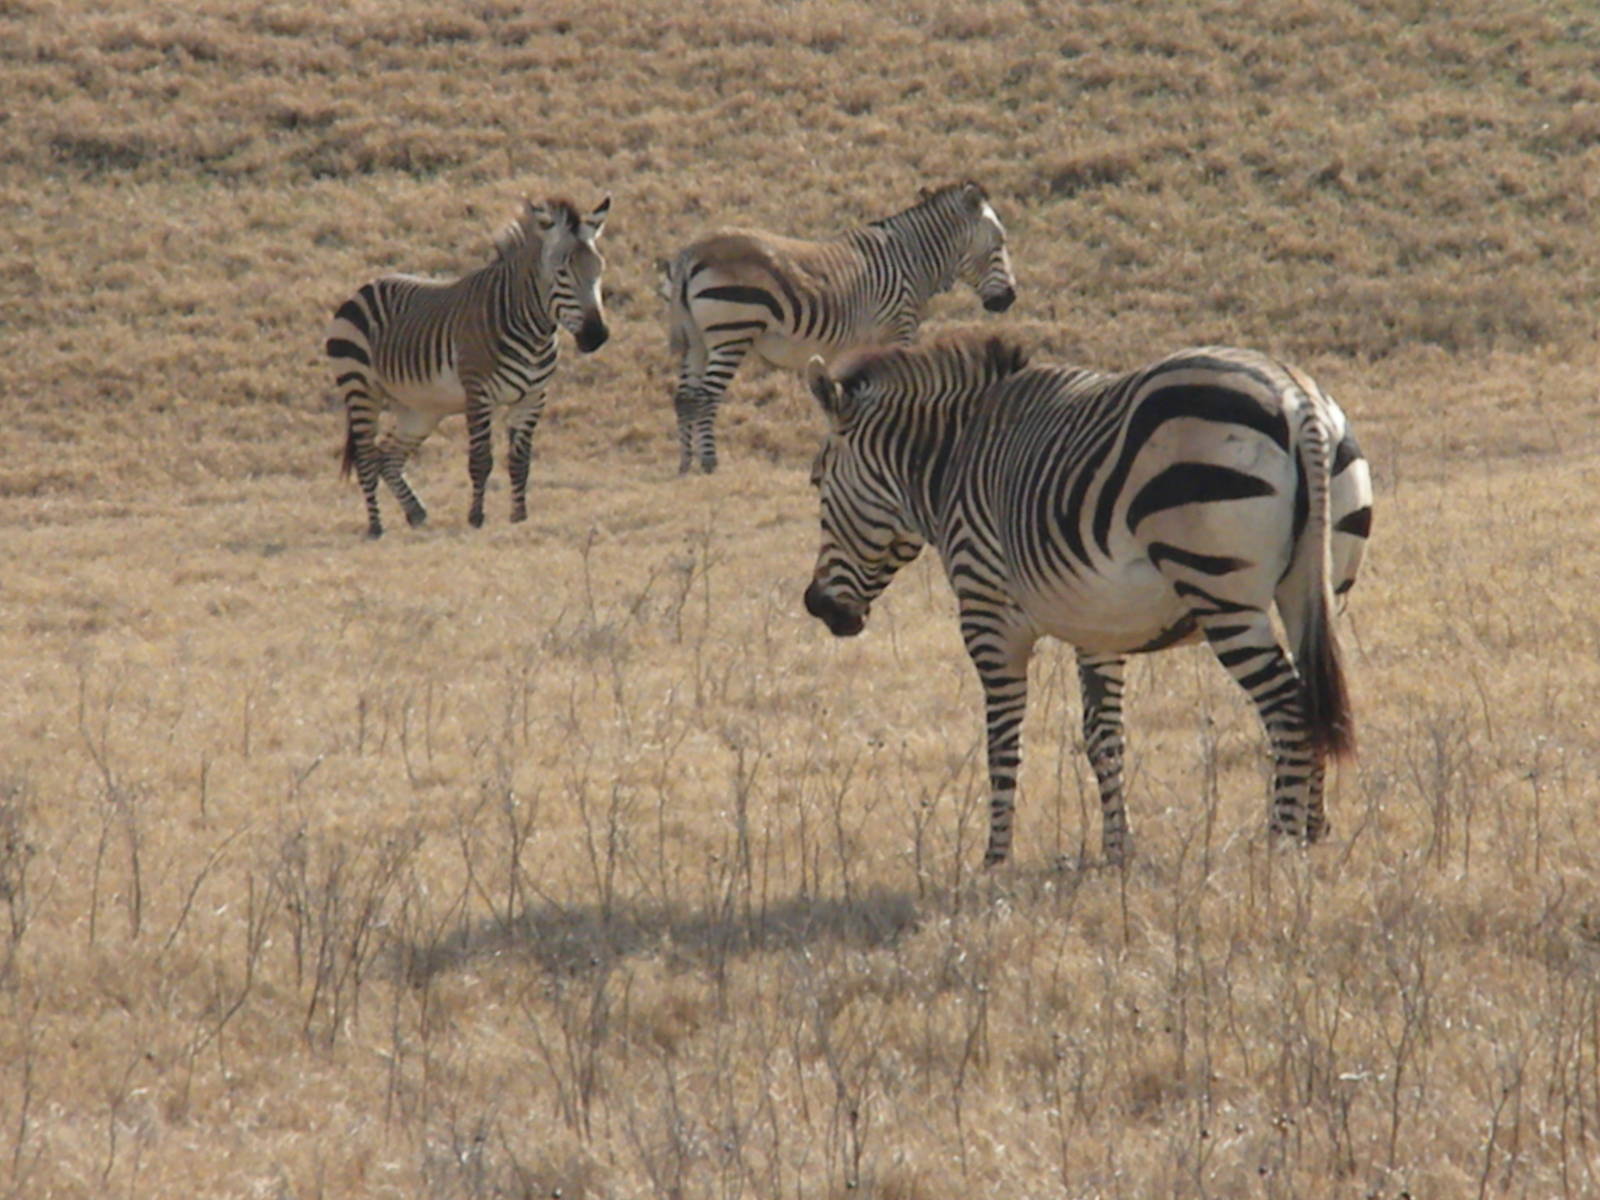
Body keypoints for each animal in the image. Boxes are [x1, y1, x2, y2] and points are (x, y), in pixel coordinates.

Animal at [327, 193, 611, 538]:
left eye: (599, 269)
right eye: (561, 273)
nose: (597, 336)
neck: (534, 332)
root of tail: (364, 287)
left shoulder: (533, 398)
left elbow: (521, 462)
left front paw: (519, 517)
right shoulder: (479, 393)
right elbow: (480, 460)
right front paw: (476, 518)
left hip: (420, 409)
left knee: (387, 456)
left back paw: (416, 512)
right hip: (360, 387)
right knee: (367, 458)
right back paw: (375, 527)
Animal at [665, 180, 1016, 476]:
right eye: (1000, 242)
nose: (1010, 298)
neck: (911, 260)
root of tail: (690, 252)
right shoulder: (897, 330)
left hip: (696, 339)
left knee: (685, 397)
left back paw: (685, 463)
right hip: (732, 333)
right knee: (707, 396)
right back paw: (709, 462)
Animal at [801, 334, 1373, 867]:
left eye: (817, 482)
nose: (816, 605)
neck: (952, 459)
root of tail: (1296, 398)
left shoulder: (987, 617)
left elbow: (1002, 742)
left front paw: (995, 859)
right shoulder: (1099, 626)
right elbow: (1103, 738)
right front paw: (1117, 850)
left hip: (1222, 594)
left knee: (1288, 710)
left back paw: (1281, 846)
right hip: (1312, 589)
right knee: (1314, 699)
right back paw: (1315, 832)